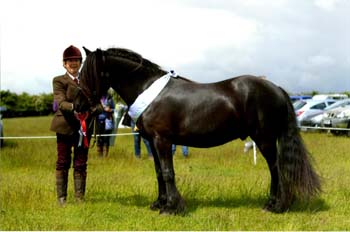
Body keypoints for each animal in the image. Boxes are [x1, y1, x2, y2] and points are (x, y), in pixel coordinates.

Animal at [75, 47, 322, 214]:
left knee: (276, 169)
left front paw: (172, 207)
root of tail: (276, 88)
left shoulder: (162, 141)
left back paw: (275, 205)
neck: (149, 90)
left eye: (89, 74)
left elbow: (168, 172)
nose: (78, 105)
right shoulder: (152, 142)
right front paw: (159, 203)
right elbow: (159, 173)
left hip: (265, 139)